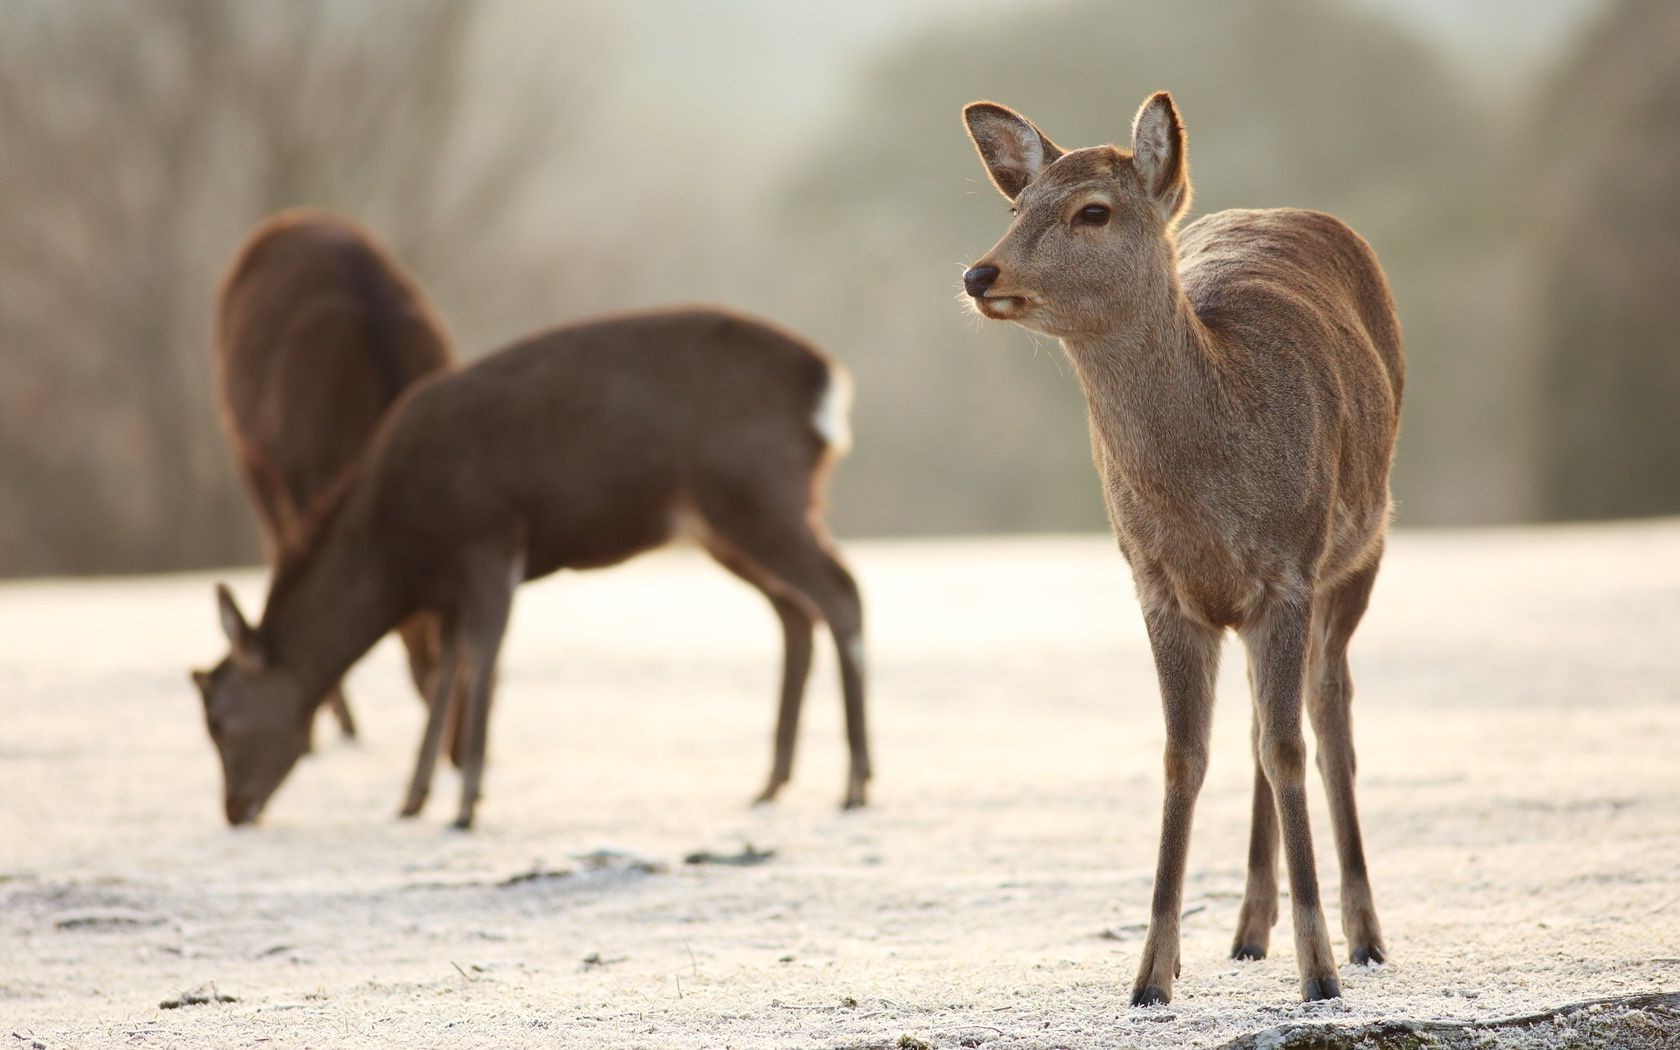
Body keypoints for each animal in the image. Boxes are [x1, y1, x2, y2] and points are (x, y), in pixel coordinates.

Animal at [189, 302, 866, 826]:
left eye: (219, 720)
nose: (233, 809)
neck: (398, 549)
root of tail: (827, 383)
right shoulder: (452, 586)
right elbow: (450, 669)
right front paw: (413, 799)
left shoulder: (489, 540)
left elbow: (482, 657)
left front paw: (465, 804)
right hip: (727, 525)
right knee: (796, 612)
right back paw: (772, 782)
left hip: (756, 492)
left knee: (841, 592)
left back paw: (855, 784)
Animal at [960, 94, 1404, 1001]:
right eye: (1016, 208)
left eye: (1093, 210)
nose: (979, 276)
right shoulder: (1157, 585)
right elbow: (1181, 757)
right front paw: (1150, 977)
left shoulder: (1288, 572)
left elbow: (1287, 746)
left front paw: (1320, 973)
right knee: (1264, 723)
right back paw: (1248, 929)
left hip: (1363, 546)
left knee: (1327, 716)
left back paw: (1365, 936)